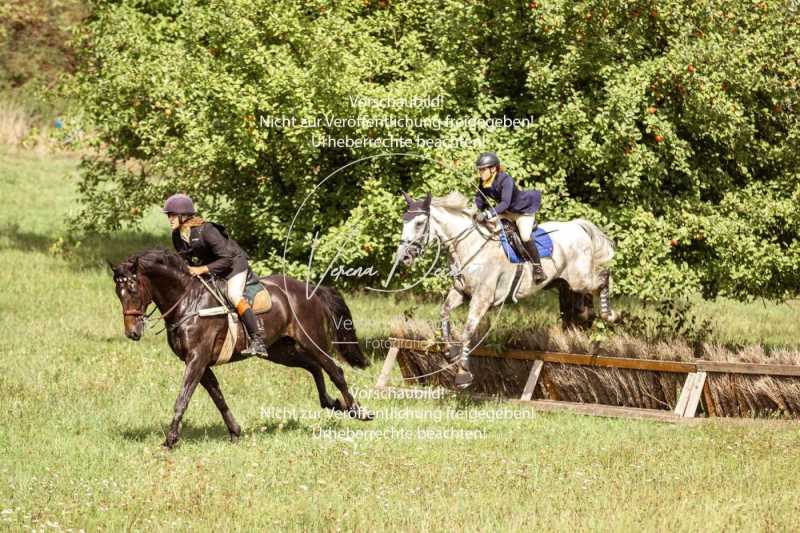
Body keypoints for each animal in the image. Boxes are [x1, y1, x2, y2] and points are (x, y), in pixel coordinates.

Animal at [108, 247, 374, 446]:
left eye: (132, 289)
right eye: (117, 293)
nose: (132, 333)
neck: (187, 301)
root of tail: (311, 290)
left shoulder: (197, 359)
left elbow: (182, 398)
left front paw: (170, 440)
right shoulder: (200, 362)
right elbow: (218, 397)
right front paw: (235, 432)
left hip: (312, 341)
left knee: (334, 370)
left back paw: (358, 411)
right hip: (280, 351)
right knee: (314, 367)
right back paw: (332, 403)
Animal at [396, 191, 620, 386]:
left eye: (419, 223)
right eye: (404, 221)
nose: (403, 257)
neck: (469, 246)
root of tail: (577, 226)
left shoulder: (482, 299)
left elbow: (467, 332)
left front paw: (463, 375)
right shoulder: (461, 293)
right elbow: (444, 313)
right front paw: (449, 353)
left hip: (579, 279)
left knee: (603, 277)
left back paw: (610, 314)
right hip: (567, 283)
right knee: (581, 304)